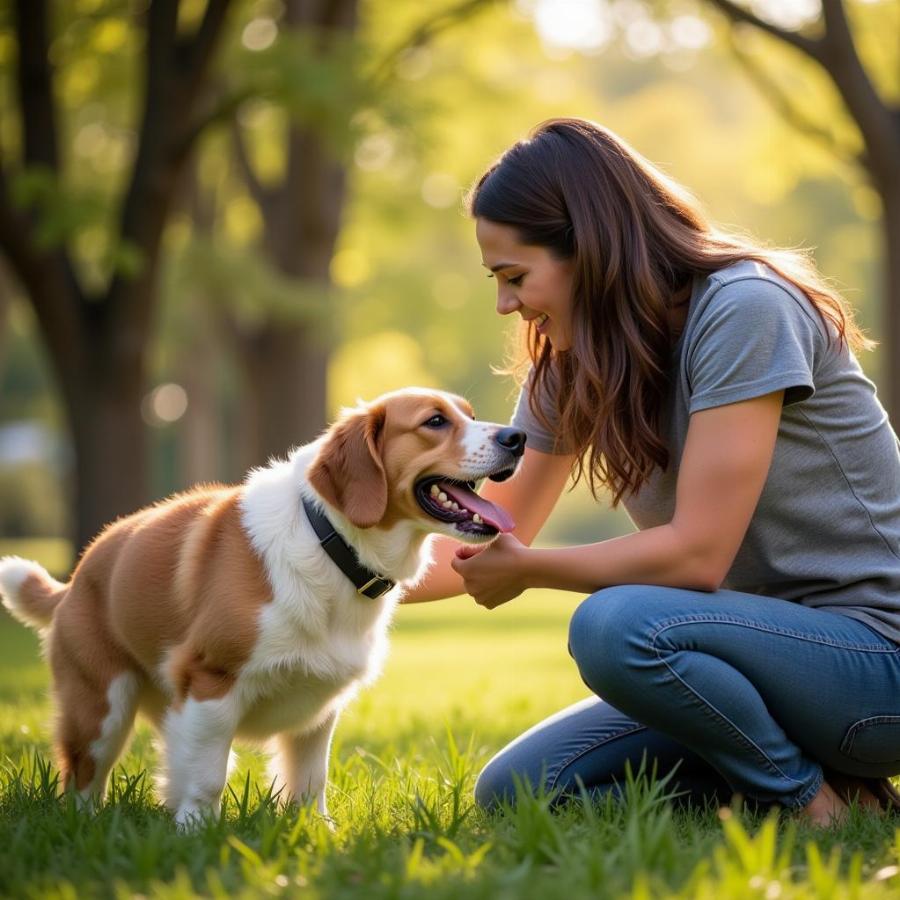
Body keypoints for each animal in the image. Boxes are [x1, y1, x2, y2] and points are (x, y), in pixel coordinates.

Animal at [0, 386, 524, 824]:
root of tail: (74, 580)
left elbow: (309, 781)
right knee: (83, 777)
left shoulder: (318, 707)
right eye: (435, 421)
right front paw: (196, 832)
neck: (331, 544)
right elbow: (209, 776)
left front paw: (316, 832)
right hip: (101, 709)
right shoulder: (211, 681)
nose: (517, 437)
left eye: (470, 415)